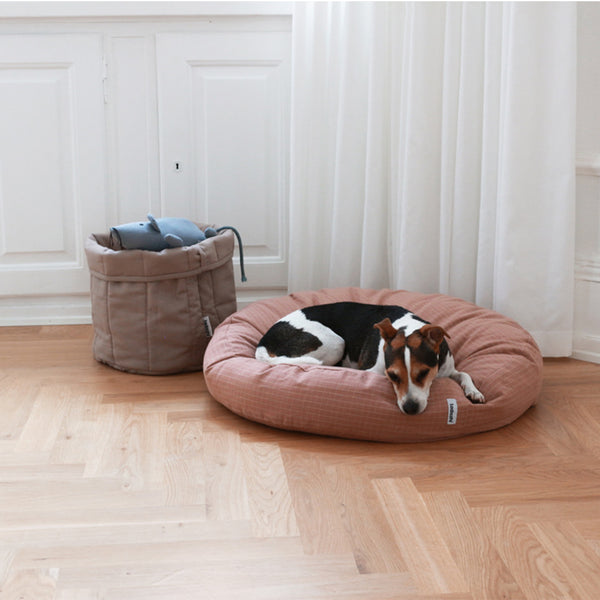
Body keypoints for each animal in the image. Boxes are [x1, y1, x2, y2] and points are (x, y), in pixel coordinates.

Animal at [255, 302, 486, 414]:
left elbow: (464, 374)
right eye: (393, 376)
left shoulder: (448, 368)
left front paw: (474, 392)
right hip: (336, 343)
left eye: (423, 373)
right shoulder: (372, 371)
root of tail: (263, 343)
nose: (410, 409)